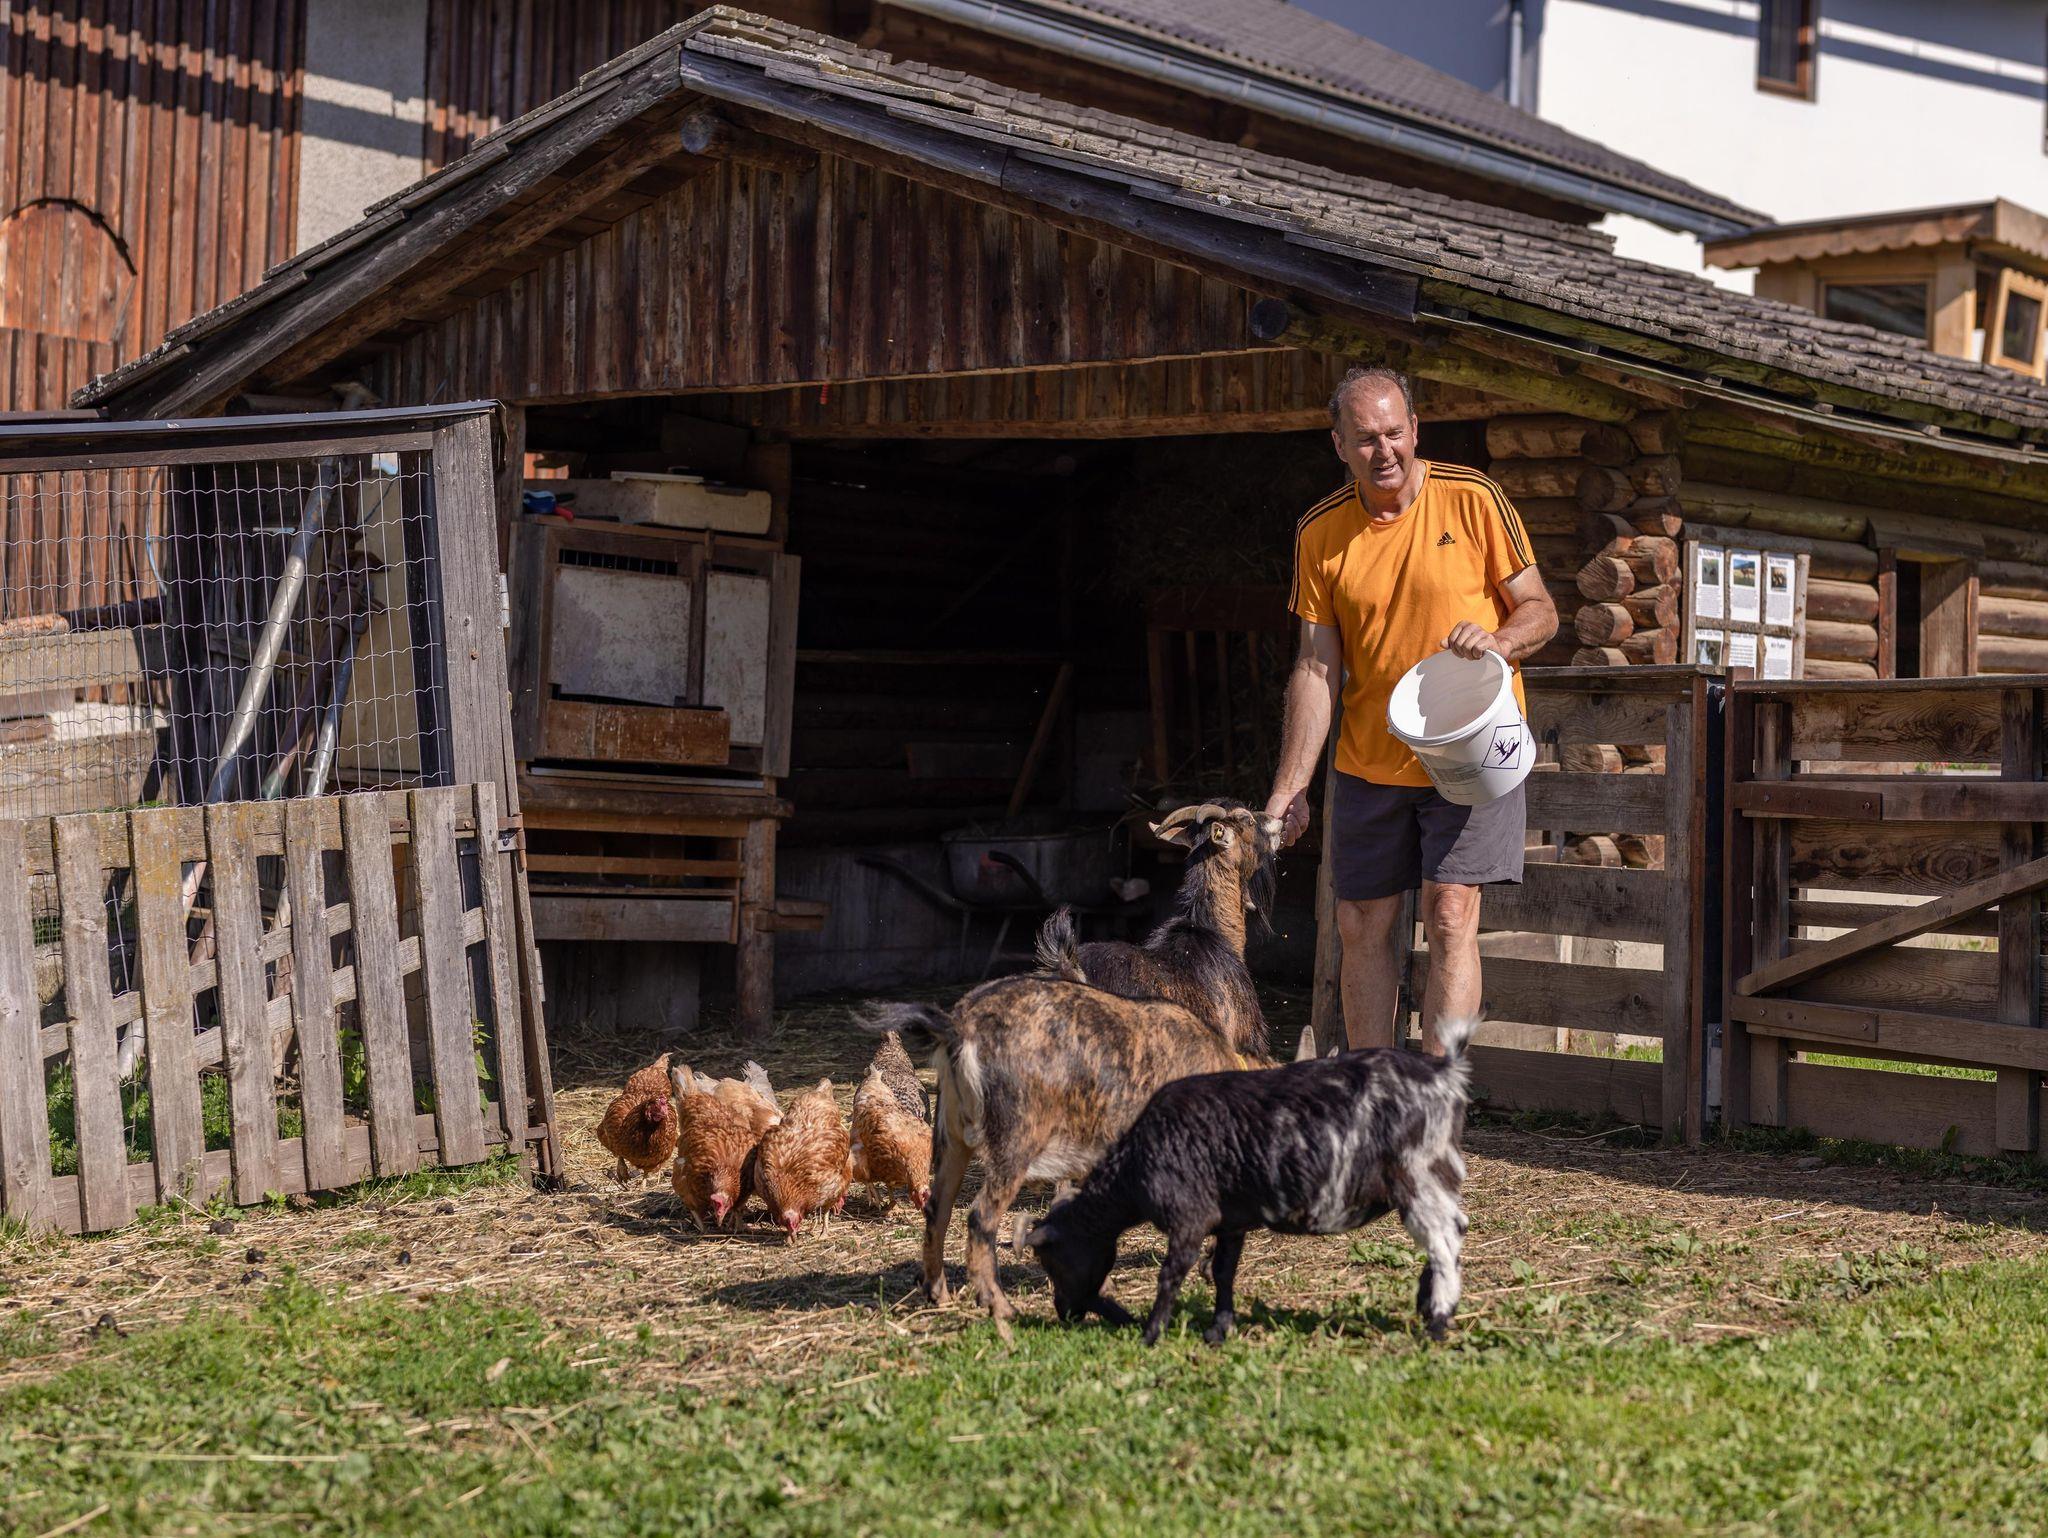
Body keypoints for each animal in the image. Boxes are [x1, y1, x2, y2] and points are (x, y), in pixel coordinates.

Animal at [1030, 1018, 1476, 1346]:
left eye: (1055, 1259)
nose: (1064, 1312)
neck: (1138, 1157)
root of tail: (1445, 1072)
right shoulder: (1230, 1220)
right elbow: (1223, 1271)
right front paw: (1217, 1330)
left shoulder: (1191, 1216)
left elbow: (1172, 1273)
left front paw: (1151, 1334)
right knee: (1450, 1233)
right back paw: (1427, 1303)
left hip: (1417, 1174)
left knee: (1444, 1241)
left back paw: (1438, 1320)